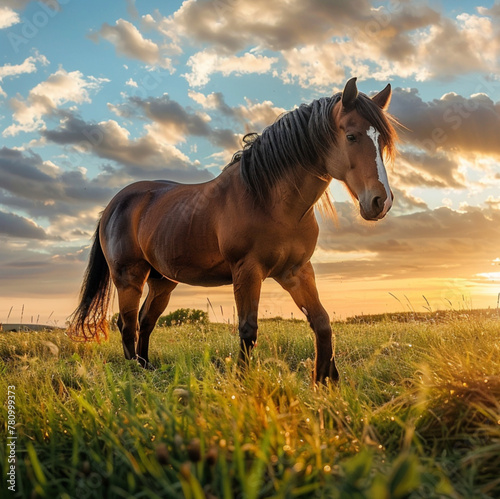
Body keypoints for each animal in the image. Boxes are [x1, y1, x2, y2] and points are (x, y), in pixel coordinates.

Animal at [68, 77, 398, 386]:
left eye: (382, 142)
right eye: (352, 136)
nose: (380, 201)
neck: (270, 200)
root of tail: (114, 204)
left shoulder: (297, 271)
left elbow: (322, 322)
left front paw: (326, 381)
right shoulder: (247, 271)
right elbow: (248, 328)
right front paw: (242, 379)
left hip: (162, 281)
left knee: (145, 321)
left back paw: (147, 369)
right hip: (129, 277)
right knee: (127, 325)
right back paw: (134, 373)